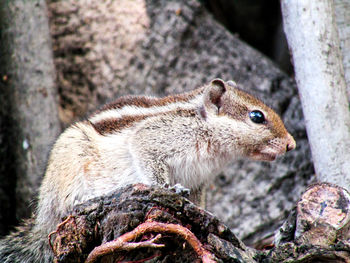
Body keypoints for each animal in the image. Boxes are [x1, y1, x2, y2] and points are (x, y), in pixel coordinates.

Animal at [0, 78, 296, 262]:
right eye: (256, 117)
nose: (291, 144)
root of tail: (41, 222)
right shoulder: (151, 139)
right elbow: (151, 164)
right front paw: (169, 188)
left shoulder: (199, 180)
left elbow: (198, 202)